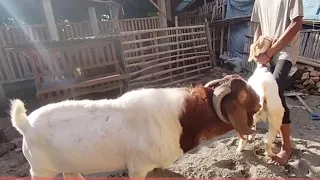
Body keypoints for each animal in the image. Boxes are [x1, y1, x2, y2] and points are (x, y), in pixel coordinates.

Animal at [10, 74, 262, 179]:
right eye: (243, 94)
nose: (261, 101)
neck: (183, 118)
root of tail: (25, 123)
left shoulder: (156, 166)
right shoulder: (138, 167)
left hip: (68, 165)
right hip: (40, 170)